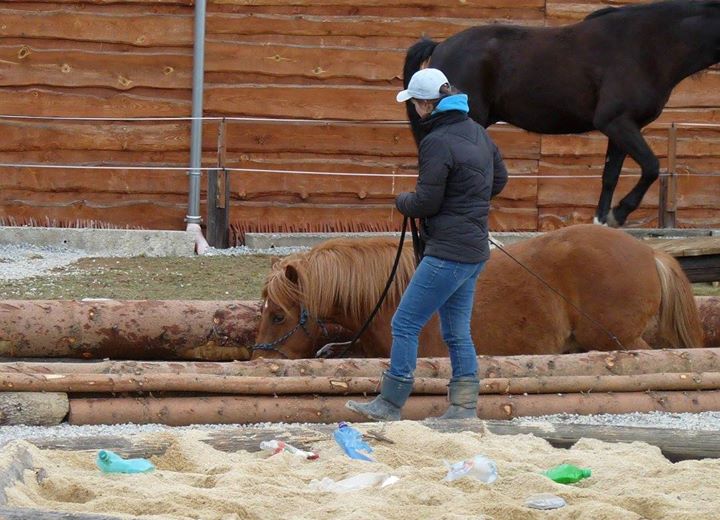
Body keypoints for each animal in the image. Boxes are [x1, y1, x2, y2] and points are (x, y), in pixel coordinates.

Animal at [402, 0, 720, 228]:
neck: (648, 46)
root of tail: (441, 45)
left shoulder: (621, 128)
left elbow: (610, 175)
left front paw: (602, 221)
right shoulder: (616, 122)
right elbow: (652, 166)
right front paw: (619, 213)